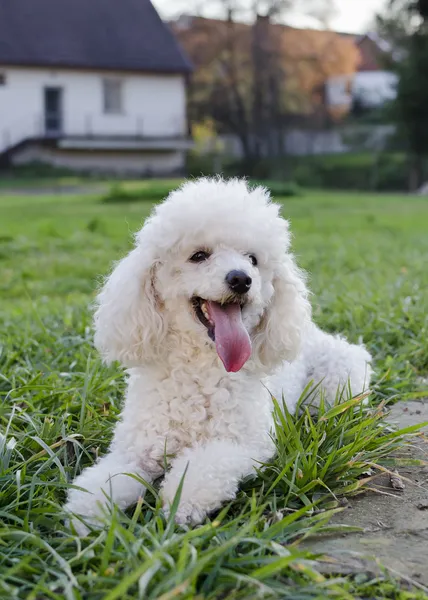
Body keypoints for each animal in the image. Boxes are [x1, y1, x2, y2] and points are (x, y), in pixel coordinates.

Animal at [64, 177, 372, 536]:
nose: (241, 279)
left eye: (252, 259)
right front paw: (84, 513)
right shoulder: (135, 448)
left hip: (338, 381)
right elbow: (105, 478)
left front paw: (180, 503)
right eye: (199, 256)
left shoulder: (244, 443)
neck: (201, 366)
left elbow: (202, 467)